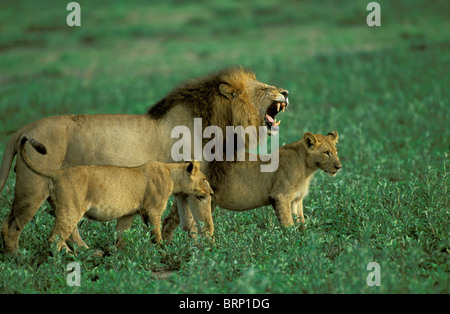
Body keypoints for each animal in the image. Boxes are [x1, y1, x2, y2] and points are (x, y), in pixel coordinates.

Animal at [18, 135, 213, 253]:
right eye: (204, 179)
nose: (211, 192)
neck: (172, 173)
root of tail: (57, 173)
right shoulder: (153, 210)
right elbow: (155, 232)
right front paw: (162, 250)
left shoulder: (127, 214)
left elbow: (121, 235)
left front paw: (120, 255)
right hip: (71, 209)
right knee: (54, 238)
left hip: (66, 210)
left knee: (67, 235)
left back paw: (84, 254)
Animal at [162, 130, 342, 240]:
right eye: (327, 153)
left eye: (336, 151)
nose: (339, 166)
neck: (307, 168)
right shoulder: (280, 196)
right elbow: (288, 224)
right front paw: (293, 245)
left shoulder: (296, 200)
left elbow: (301, 222)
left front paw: (306, 241)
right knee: (200, 228)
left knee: (169, 221)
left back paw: (167, 250)